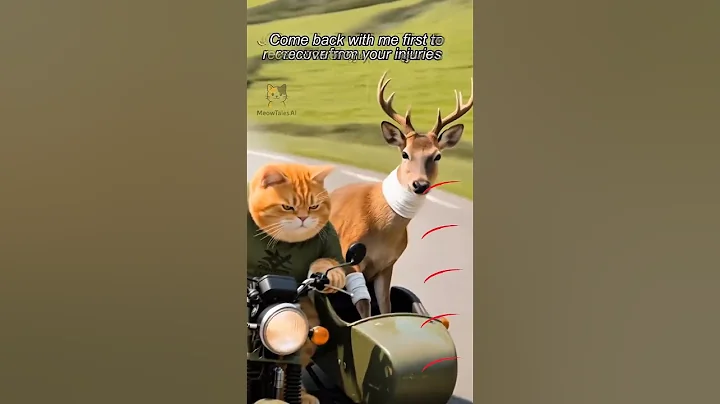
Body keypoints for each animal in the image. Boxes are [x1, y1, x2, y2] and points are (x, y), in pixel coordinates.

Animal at [329, 71, 473, 318]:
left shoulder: (388, 264)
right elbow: (365, 309)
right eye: (405, 153)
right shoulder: (350, 257)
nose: (420, 184)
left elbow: (385, 306)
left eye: (437, 156)